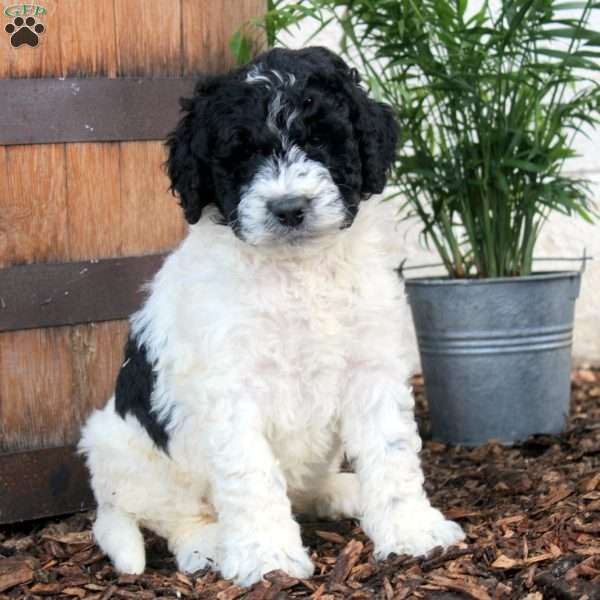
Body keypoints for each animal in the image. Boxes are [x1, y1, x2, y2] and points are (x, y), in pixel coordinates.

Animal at [78, 45, 464, 584]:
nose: (289, 208)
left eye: (319, 139)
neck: (296, 270)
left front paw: (412, 531)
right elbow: (250, 475)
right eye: (242, 154)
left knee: (306, 489)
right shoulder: (230, 389)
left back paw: (343, 491)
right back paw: (210, 545)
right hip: (121, 448)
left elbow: (392, 451)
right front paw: (267, 558)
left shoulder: (371, 366)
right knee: (175, 517)